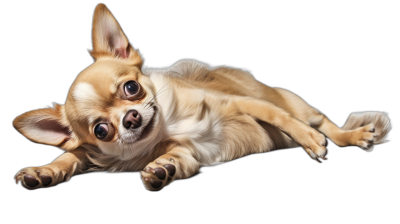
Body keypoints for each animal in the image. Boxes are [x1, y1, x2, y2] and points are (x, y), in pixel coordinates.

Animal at [11, 3, 390, 191]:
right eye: (101, 131)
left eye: (131, 88)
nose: (131, 118)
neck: (170, 125)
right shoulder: (187, 154)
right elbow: (70, 156)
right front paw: (43, 172)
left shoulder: (241, 103)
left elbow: (279, 117)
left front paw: (311, 142)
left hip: (297, 103)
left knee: (326, 124)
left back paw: (350, 135)